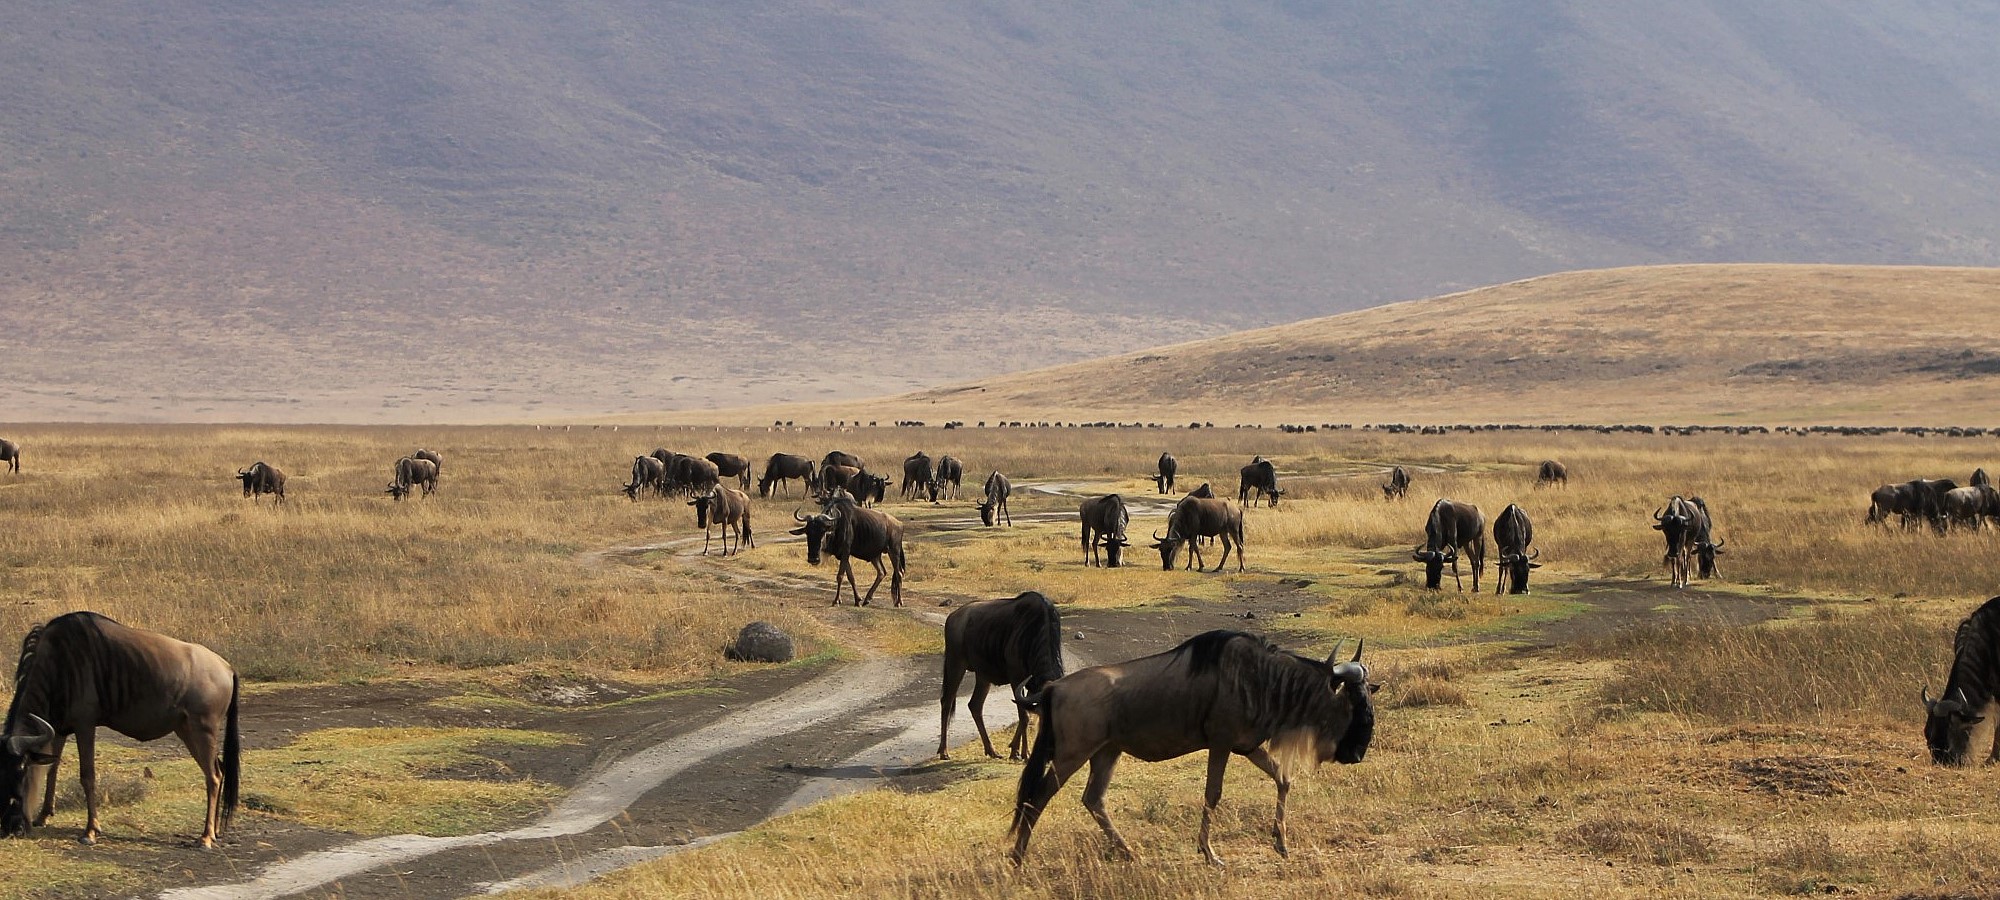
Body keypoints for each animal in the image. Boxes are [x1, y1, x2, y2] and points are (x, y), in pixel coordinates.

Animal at [2, 612, 241, 852]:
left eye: (21, 768)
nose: (10, 828)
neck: (59, 661)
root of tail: (227, 668)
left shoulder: (84, 725)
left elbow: (87, 776)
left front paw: (90, 831)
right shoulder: (59, 728)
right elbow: (52, 770)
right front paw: (42, 816)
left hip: (202, 731)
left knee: (214, 776)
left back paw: (206, 837)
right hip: (186, 731)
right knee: (219, 769)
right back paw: (216, 831)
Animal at [936, 592, 1064, 760]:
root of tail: (953, 617)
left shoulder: (1032, 685)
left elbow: (1025, 715)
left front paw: (1015, 749)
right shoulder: (1016, 678)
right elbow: (1024, 716)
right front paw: (1023, 752)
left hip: (983, 675)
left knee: (975, 705)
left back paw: (991, 750)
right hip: (955, 664)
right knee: (946, 702)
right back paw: (944, 751)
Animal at [1016, 628, 1376, 868]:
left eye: (1369, 697)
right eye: (1352, 702)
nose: (1357, 753)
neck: (1264, 679)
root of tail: (1054, 687)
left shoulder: (1247, 746)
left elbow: (1283, 779)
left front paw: (1281, 843)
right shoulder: (1221, 743)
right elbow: (1212, 793)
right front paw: (1209, 853)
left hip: (1106, 752)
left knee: (1093, 799)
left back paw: (1129, 853)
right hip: (1071, 755)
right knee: (1037, 797)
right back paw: (1017, 858)